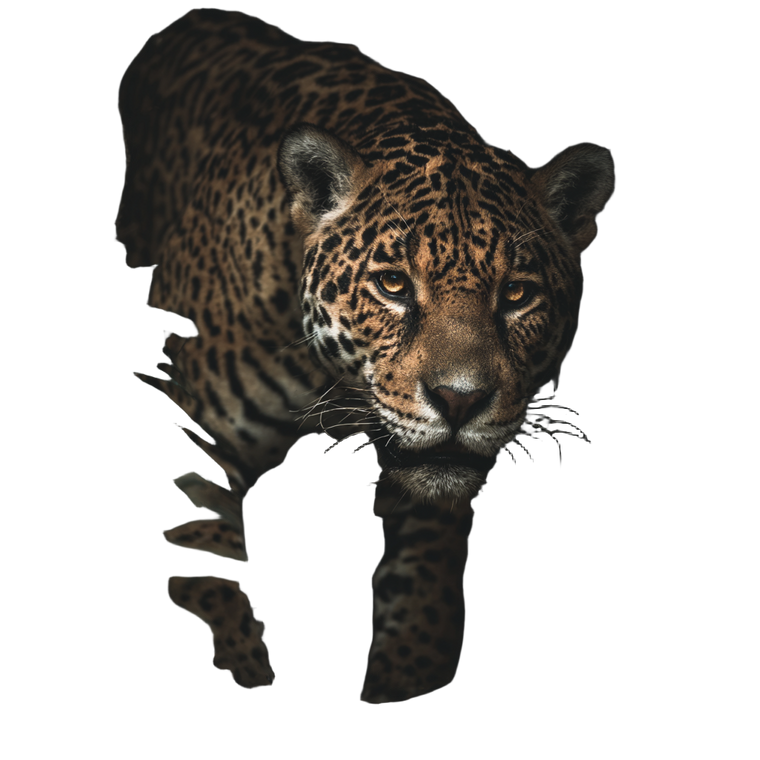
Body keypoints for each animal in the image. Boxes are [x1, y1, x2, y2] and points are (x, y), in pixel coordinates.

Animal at [114, 6, 617, 706]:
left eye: (517, 295)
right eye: (394, 285)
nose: (460, 400)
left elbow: (420, 616)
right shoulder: (198, 449)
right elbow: (208, 576)